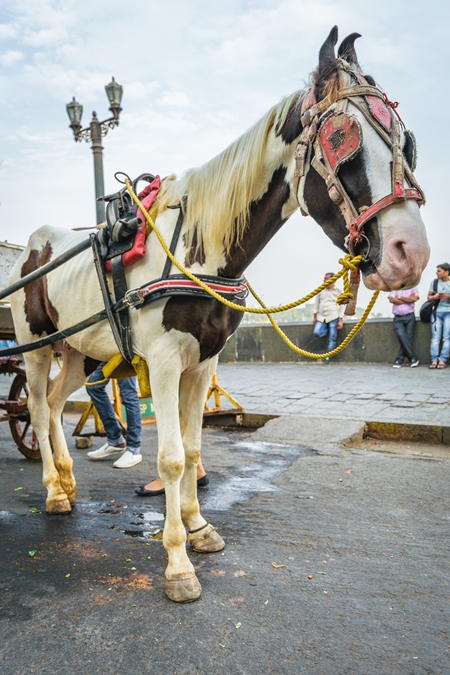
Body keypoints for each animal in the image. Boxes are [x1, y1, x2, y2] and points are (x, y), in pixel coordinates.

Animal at [7, 30, 428, 604]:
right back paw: (52, 490)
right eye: (345, 140)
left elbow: (192, 446)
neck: (199, 247)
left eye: (407, 144)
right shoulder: (163, 362)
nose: (413, 253)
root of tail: (32, 247)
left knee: (51, 404)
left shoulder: (203, 361)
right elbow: (171, 457)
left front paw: (198, 527)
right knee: (33, 404)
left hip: (78, 351)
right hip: (34, 343)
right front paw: (177, 563)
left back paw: (67, 482)